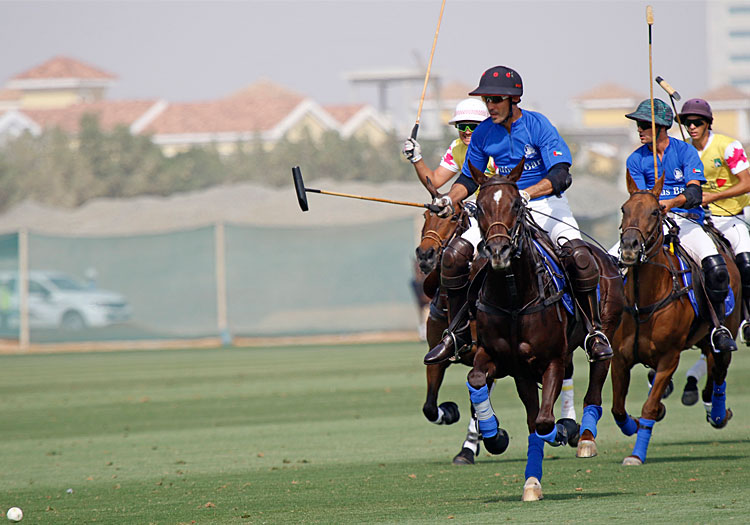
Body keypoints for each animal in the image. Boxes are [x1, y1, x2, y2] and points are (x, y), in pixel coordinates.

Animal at [464, 160, 625, 501]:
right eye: (480, 207)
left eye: (515, 203)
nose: (497, 251)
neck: (514, 298)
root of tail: (605, 256)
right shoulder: (509, 363)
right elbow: (480, 381)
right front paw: (495, 436)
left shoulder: (550, 358)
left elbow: (543, 421)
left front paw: (562, 430)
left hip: (604, 327)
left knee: (596, 378)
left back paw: (585, 437)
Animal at [610, 171, 739, 466]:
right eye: (623, 209)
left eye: (655, 211)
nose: (630, 248)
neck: (643, 301)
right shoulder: (619, 358)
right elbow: (618, 409)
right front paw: (636, 423)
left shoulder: (669, 358)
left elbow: (647, 407)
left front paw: (636, 454)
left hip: (726, 329)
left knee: (719, 369)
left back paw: (718, 413)